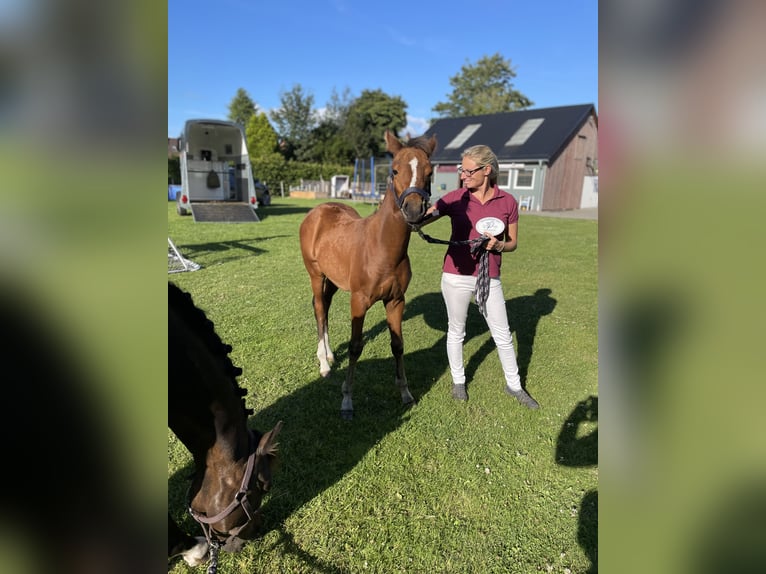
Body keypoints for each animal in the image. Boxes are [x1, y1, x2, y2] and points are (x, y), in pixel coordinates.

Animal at [300, 130, 438, 420]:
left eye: (430, 172)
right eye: (394, 169)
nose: (413, 210)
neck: (383, 247)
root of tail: (317, 211)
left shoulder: (396, 301)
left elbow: (398, 345)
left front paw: (406, 394)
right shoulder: (359, 301)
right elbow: (355, 346)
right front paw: (347, 400)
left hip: (334, 280)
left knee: (325, 307)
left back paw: (329, 355)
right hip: (316, 275)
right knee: (318, 308)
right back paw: (324, 364)